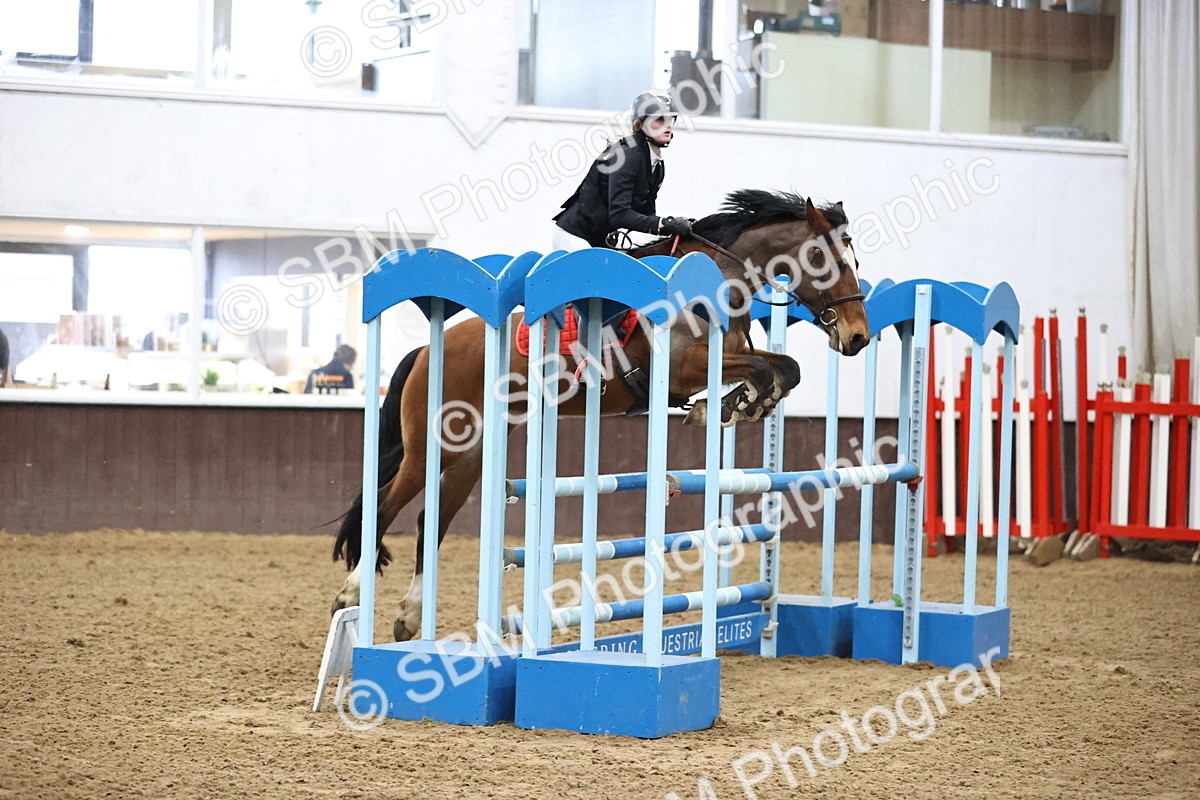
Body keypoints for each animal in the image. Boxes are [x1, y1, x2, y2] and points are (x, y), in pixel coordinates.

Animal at [330, 190, 871, 641]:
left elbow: (785, 369)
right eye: (823, 258)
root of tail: (427, 350)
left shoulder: (727, 355)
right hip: (432, 446)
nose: (857, 337)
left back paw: (409, 618)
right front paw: (724, 407)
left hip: (473, 453)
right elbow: (762, 369)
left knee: (432, 519)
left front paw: (736, 406)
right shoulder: (682, 367)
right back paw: (350, 595)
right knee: (385, 505)